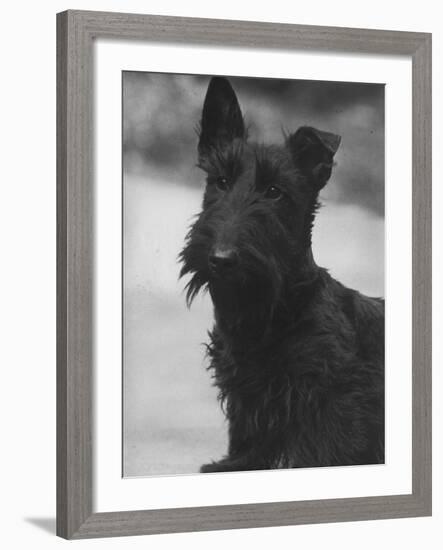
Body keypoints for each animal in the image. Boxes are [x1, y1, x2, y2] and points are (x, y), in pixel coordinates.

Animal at [180, 77, 386, 474]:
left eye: (275, 192)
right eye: (220, 181)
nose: (221, 259)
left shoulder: (334, 401)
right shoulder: (247, 396)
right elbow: (248, 440)